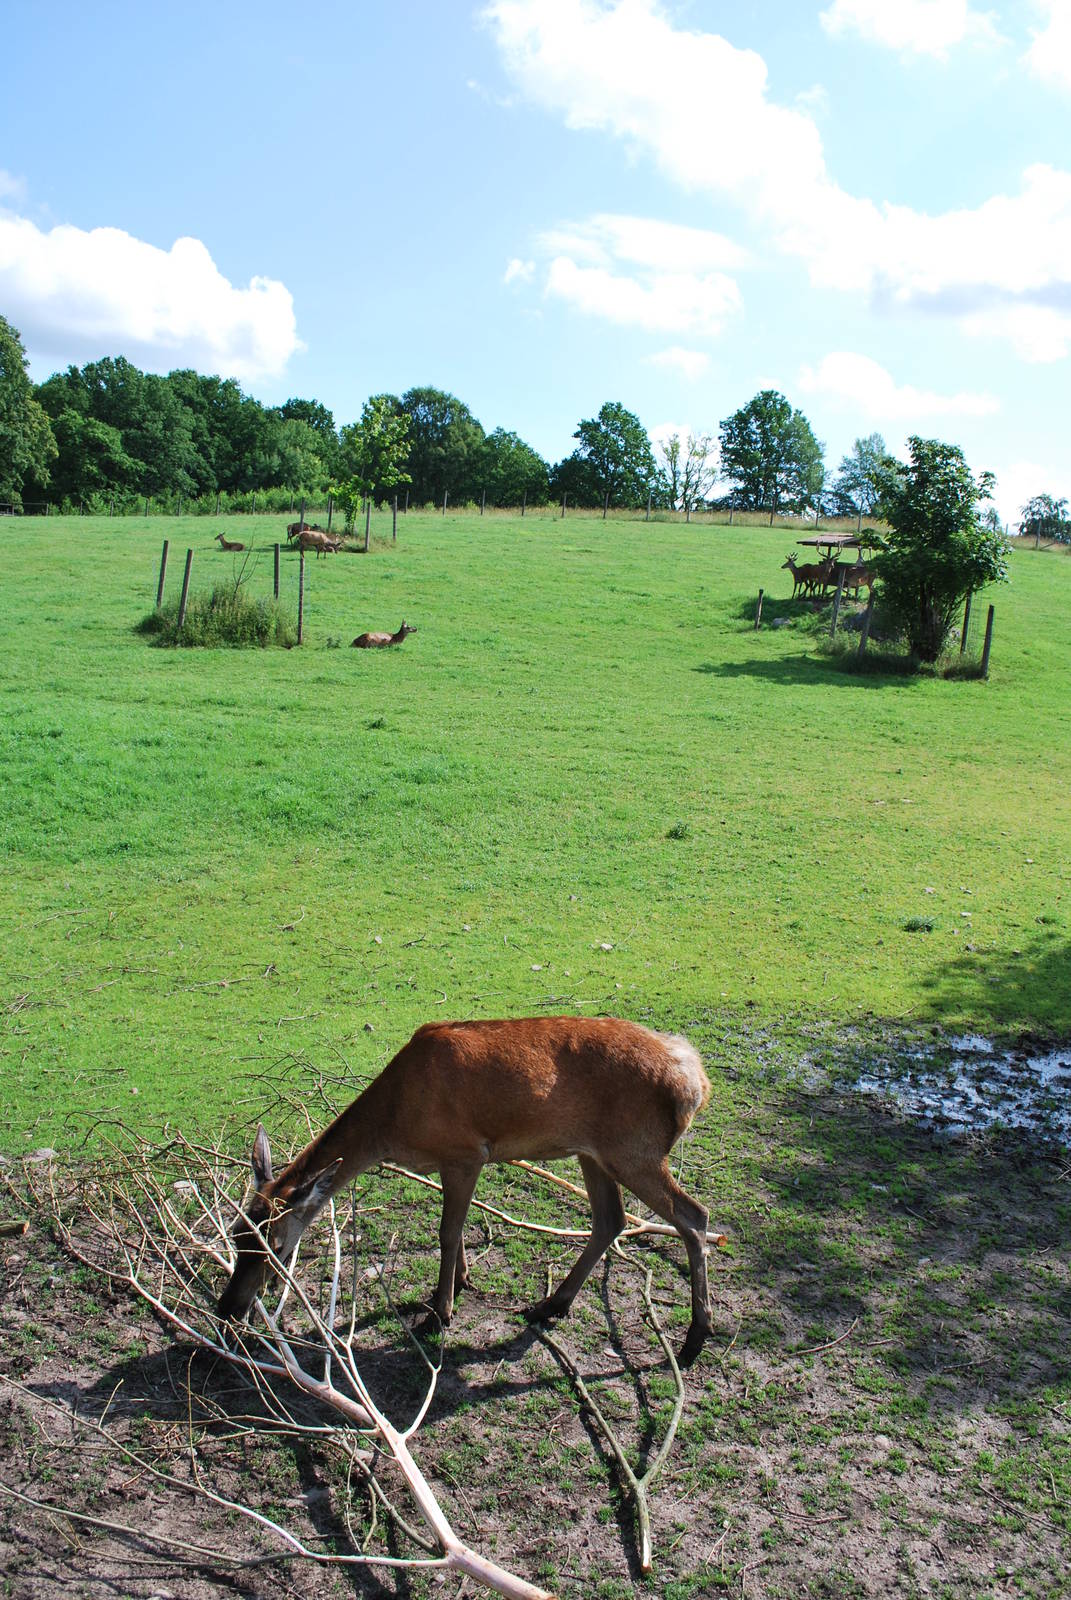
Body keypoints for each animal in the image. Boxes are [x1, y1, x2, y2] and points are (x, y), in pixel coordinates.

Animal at [217, 1016, 715, 1366]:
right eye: (237, 1233)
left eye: (276, 1246)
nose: (227, 1309)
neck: (394, 1125)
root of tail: (695, 1082)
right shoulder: (449, 1162)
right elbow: (455, 1229)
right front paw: (459, 1282)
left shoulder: (465, 1152)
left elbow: (446, 1231)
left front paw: (441, 1311)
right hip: (593, 1153)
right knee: (611, 1219)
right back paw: (551, 1304)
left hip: (635, 1150)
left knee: (694, 1216)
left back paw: (694, 1339)